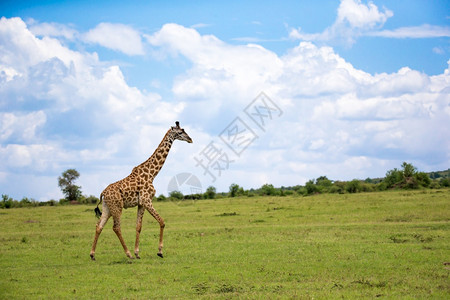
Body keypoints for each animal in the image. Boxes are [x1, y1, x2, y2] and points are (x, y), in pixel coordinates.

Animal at [89, 121, 192, 260]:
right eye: (180, 132)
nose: (190, 139)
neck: (152, 174)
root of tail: (102, 193)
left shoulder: (141, 203)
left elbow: (138, 226)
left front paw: (137, 252)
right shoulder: (147, 200)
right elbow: (162, 221)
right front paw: (159, 252)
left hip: (107, 208)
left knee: (99, 226)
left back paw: (92, 254)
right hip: (117, 207)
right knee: (116, 227)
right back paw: (128, 254)